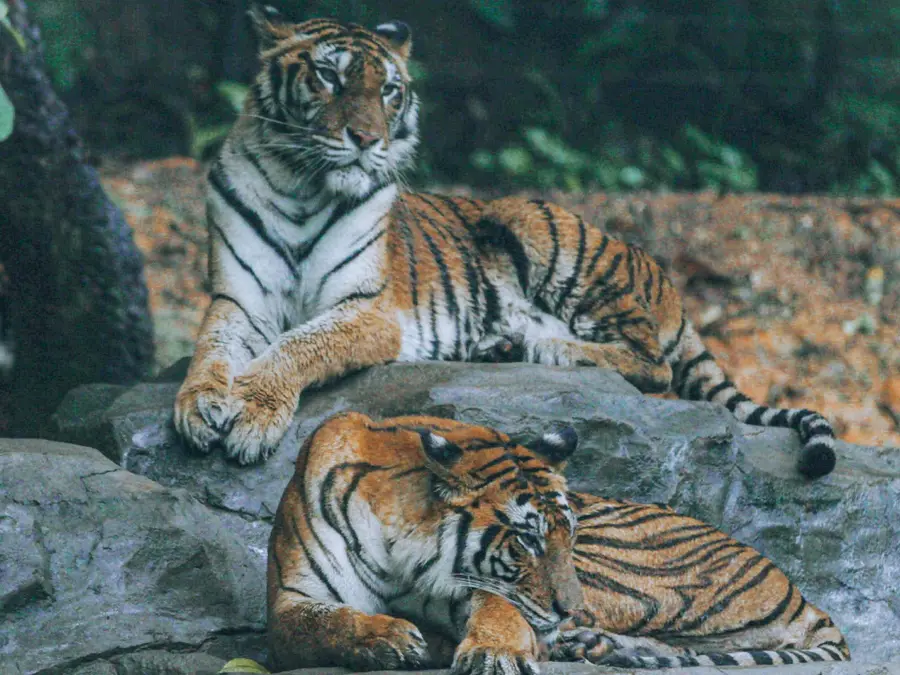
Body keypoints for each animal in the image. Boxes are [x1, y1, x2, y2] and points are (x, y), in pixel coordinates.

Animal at [173, 5, 837, 478]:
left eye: (389, 90)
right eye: (328, 76)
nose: (367, 140)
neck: (302, 186)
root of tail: (664, 277)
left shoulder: (368, 310)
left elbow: (297, 346)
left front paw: (252, 417)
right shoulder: (238, 299)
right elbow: (213, 348)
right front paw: (198, 406)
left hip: (544, 231)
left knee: (652, 364)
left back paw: (545, 348)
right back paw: (500, 345)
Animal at [267, 412, 850, 673]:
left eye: (566, 535)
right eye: (526, 539)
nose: (570, 609)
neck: (401, 553)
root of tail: (802, 595)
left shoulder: (482, 589)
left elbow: (502, 611)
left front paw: (493, 652)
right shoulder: (289, 600)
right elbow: (321, 623)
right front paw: (388, 638)